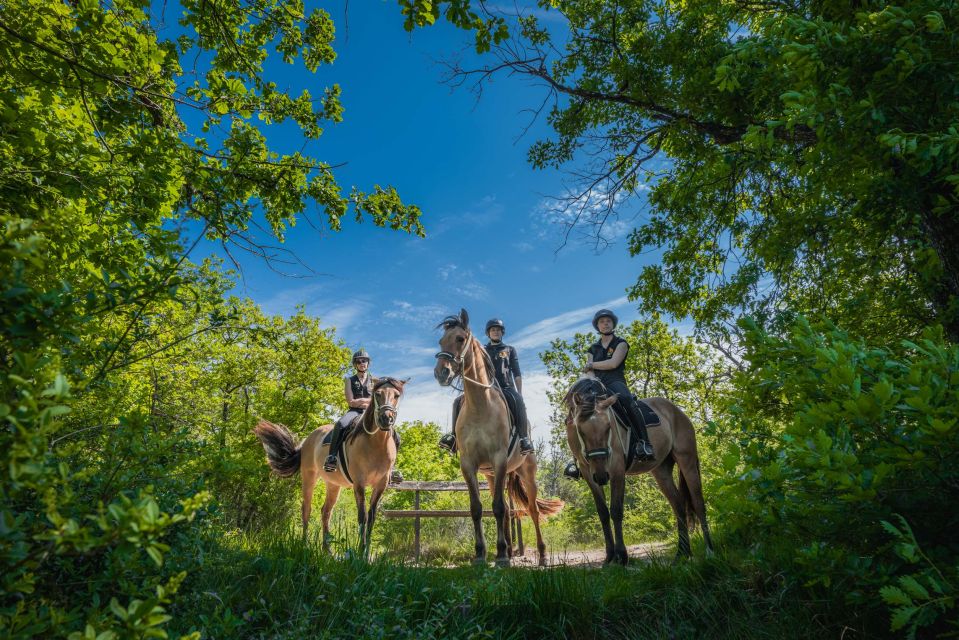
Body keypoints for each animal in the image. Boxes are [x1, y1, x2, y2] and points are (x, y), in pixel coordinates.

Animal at [253, 376, 406, 556]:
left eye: (396, 395)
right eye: (378, 394)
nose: (386, 419)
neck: (376, 444)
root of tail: (307, 439)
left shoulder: (381, 485)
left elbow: (372, 516)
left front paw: (366, 553)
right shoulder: (359, 483)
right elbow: (362, 516)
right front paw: (360, 552)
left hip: (333, 484)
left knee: (325, 512)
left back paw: (328, 550)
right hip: (309, 477)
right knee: (306, 509)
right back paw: (304, 545)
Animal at [436, 310, 564, 564]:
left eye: (460, 339)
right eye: (440, 341)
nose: (441, 373)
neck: (479, 407)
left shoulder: (499, 459)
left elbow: (497, 508)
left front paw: (502, 557)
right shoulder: (469, 465)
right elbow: (477, 508)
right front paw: (482, 554)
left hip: (526, 473)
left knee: (532, 510)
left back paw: (541, 556)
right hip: (493, 476)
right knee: (505, 508)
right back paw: (506, 551)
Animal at [568, 378, 716, 564]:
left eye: (609, 427)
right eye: (580, 430)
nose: (602, 476)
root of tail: (677, 411)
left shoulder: (616, 470)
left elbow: (616, 510)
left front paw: (621, 556)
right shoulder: (589, 474)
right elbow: (603, 513)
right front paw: (609, 557)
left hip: (686, 461)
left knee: (698, 503)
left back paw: (710, 550)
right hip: (661, 470)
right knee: (678, 505)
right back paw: (682, 553)